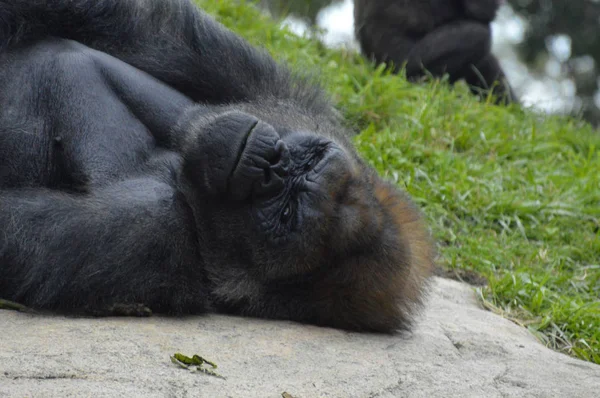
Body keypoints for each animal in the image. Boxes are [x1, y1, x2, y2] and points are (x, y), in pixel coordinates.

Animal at [0, 0, 434, 332]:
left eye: (285, 213)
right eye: (309, 158)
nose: (270, 164)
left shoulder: (149, 228)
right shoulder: (278, 93)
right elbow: (138, 24)